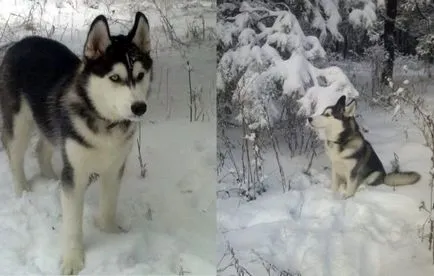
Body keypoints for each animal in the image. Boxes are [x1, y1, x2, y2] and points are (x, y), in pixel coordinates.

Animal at [0, 12, 153, 274]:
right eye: (115, 78)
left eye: (141, 75)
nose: (139, 107)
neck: (105, 124)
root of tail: (19, 42)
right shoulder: (76, 173)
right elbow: (72, 223)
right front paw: (73, 259)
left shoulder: (114, 168)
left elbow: (109, 206)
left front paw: (111, 235)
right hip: (19, 124)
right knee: (15, 157)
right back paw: (23, 190)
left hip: (50, 123)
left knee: (42, 149)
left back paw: (51, 180)